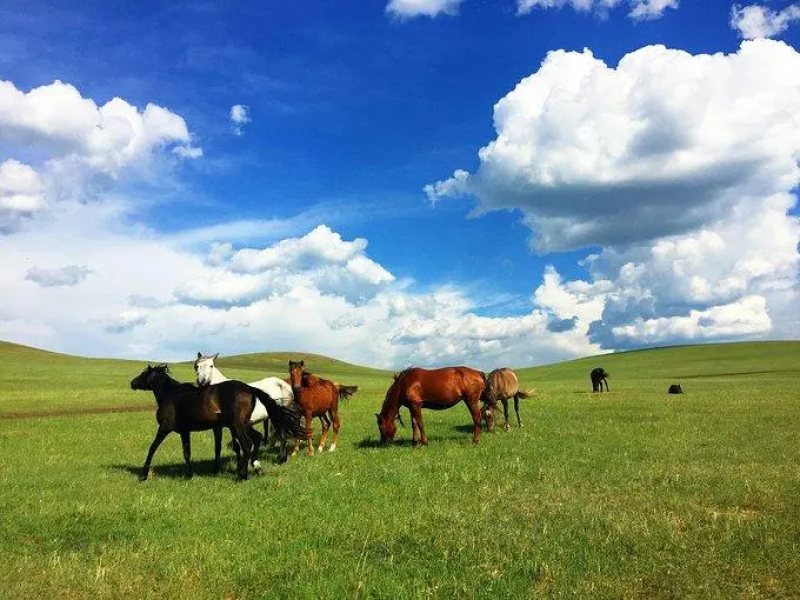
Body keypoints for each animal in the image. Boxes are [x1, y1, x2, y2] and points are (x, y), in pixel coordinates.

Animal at [130, 364, 306, 481]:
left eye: (143, 373)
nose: (132, 383)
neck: (171, 395)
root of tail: (249, 388)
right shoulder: (185, 432)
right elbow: (187, 452)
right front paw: (189, 475)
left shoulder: (164, 428)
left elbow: (152, 448)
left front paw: (143, 475)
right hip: (243, 424)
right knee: (256, 438)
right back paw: (255, 467)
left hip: (237, 425)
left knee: (247, 444)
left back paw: (242, 475)